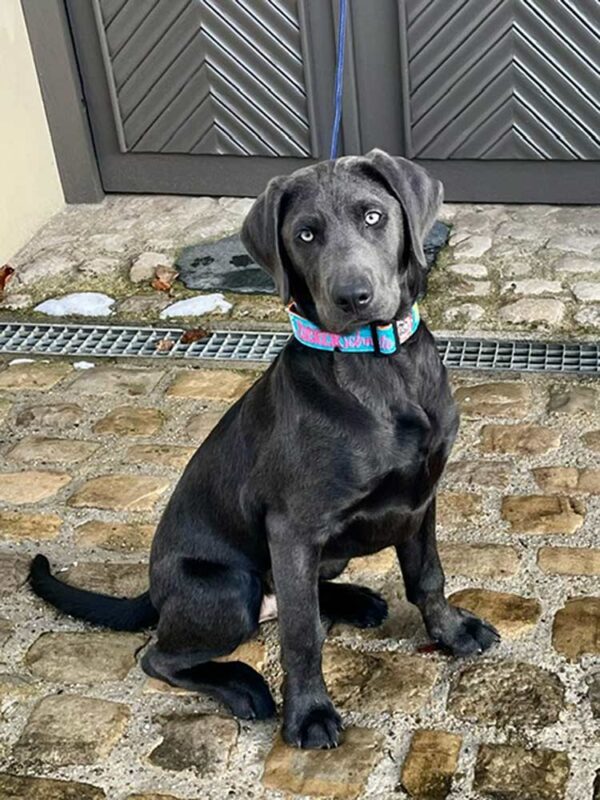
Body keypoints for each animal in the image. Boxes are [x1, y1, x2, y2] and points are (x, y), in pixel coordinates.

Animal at [29, 150, 496, 752]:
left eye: (373, 216)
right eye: (305, 235)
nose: (353, 298)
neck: (377, 364)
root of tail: (154, 592)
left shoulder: (422, 496)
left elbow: (428, 577)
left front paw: (453, 632)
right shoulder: (292, 527)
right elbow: (302, 635)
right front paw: (309, 714)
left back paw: (353, 600)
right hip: (230, 586)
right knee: (163, 656)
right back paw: (242, 685)